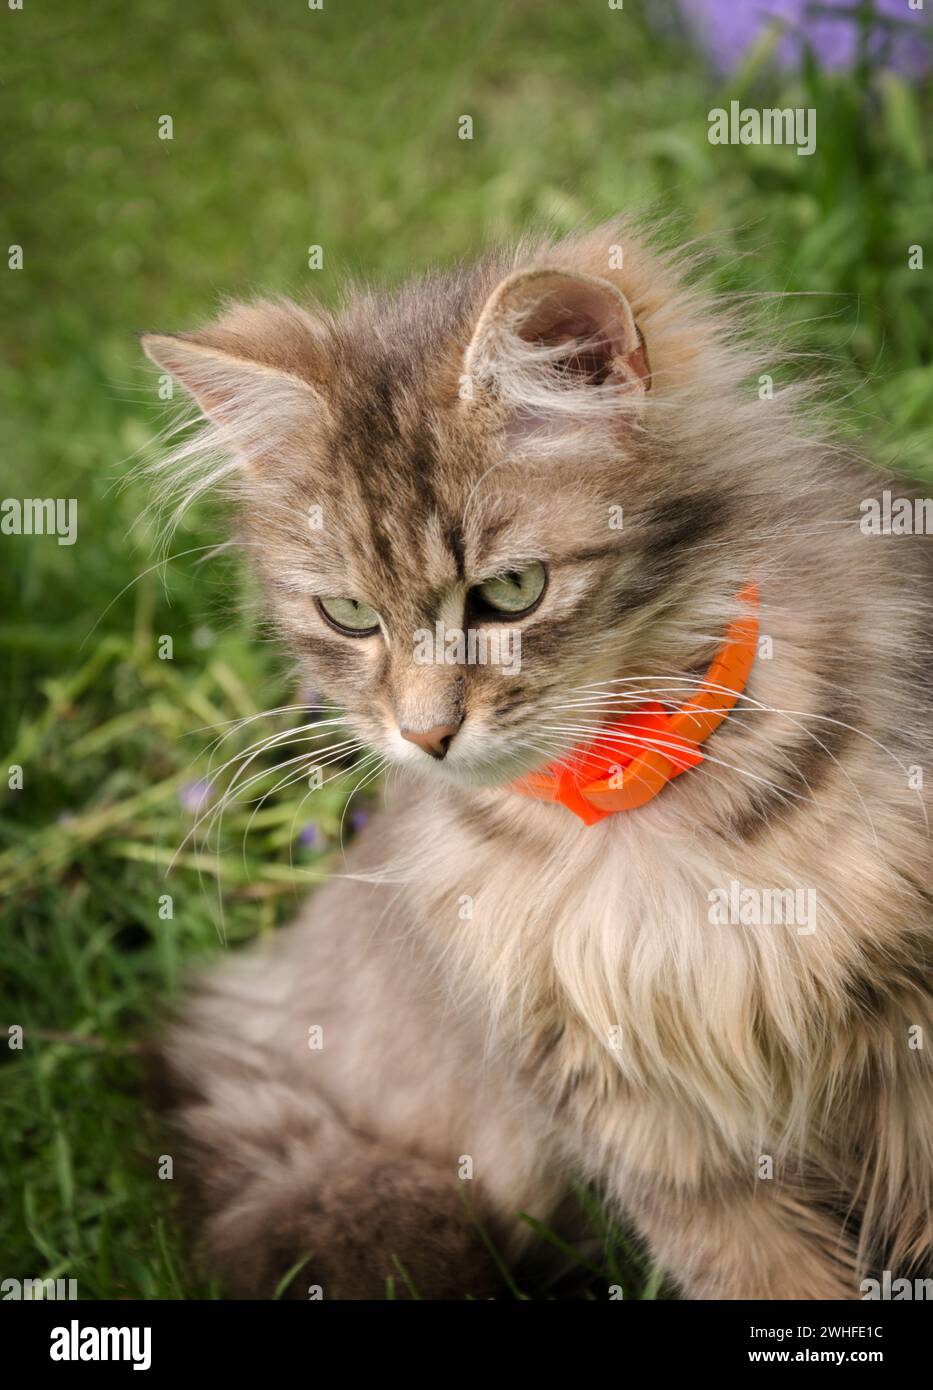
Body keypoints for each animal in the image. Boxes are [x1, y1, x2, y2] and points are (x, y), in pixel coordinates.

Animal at [142, 219, 933, 1301]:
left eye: (511, 592)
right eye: (347, 614)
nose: (425, 734)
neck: (632, 810)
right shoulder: (631, 1113)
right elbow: (756, 1269)